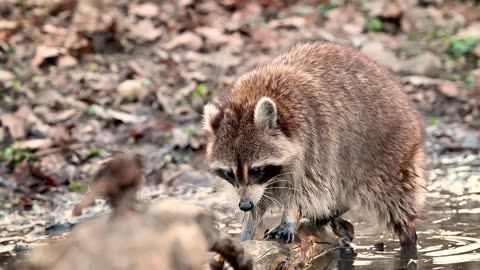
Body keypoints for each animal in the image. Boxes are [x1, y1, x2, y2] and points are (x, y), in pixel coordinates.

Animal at [201, 41, 426, 247]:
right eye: (230, 173)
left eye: (256, 170)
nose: (245, 206)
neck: (252, 97)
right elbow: (261, 196)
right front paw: (248, 226)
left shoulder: (317, 142)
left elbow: (308, 189)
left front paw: (289, 217)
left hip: (387, 153)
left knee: (393, 199)